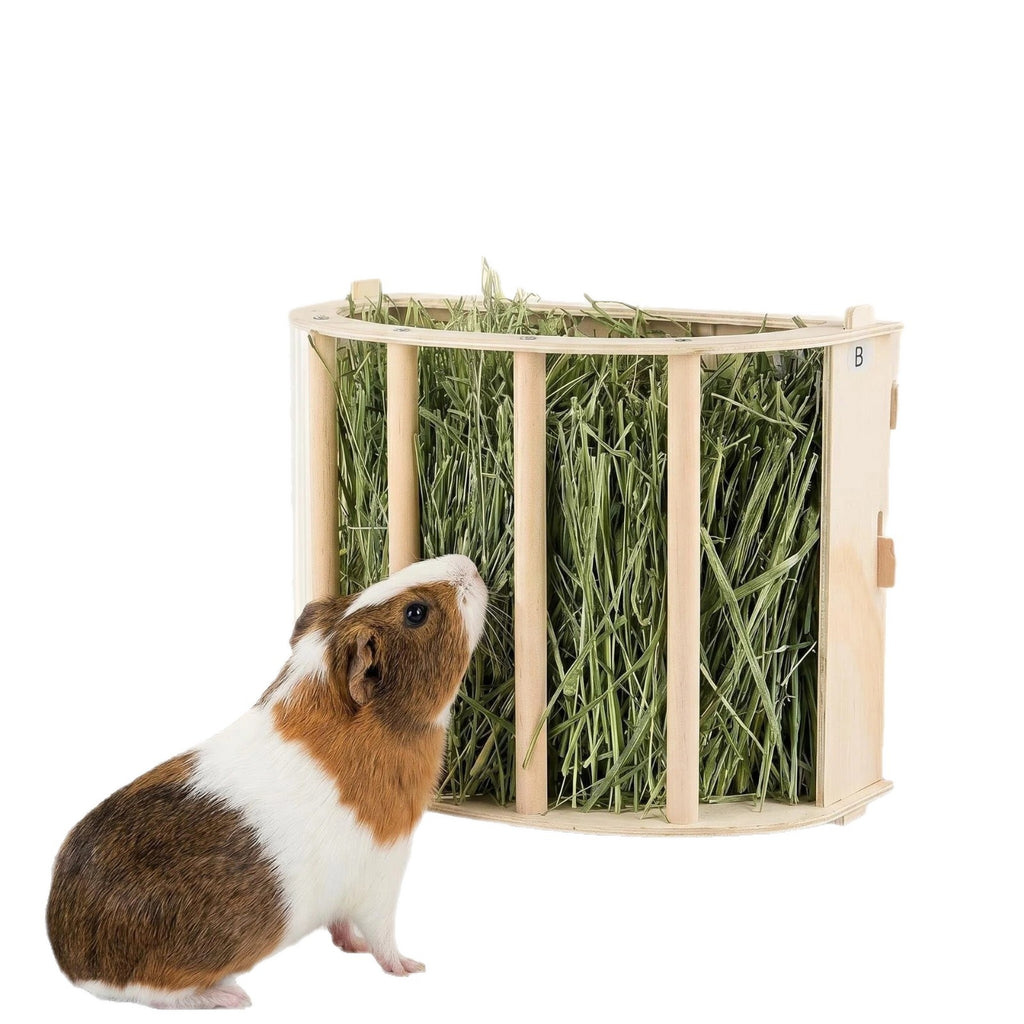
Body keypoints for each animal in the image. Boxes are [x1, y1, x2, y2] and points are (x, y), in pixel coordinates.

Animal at [46, 553, 488, 1009]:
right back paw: (232, 997)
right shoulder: (381, 877)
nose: (469, 566)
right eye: (416, 613)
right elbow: (382, 939)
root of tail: (73, 961)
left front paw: (354, 948)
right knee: (162, 995)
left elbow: (342, 928)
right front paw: (410, 967)